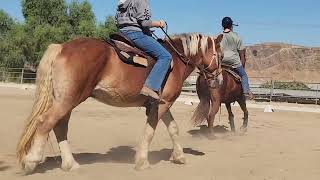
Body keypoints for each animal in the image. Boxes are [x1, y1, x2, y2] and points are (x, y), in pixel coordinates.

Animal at [16, 33, 224, 174]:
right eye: (220, 55)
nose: (220, 80)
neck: (175, 60)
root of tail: (62, 47)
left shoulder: (163, 104)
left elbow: (173, 128)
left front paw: (179, 157)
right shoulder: (161, 105)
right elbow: (150, 131)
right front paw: (142, 162)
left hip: (66, 100)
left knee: (59, 126)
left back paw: (70, 164)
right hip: (68, 100)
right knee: (46, 122)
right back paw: (32, 161)